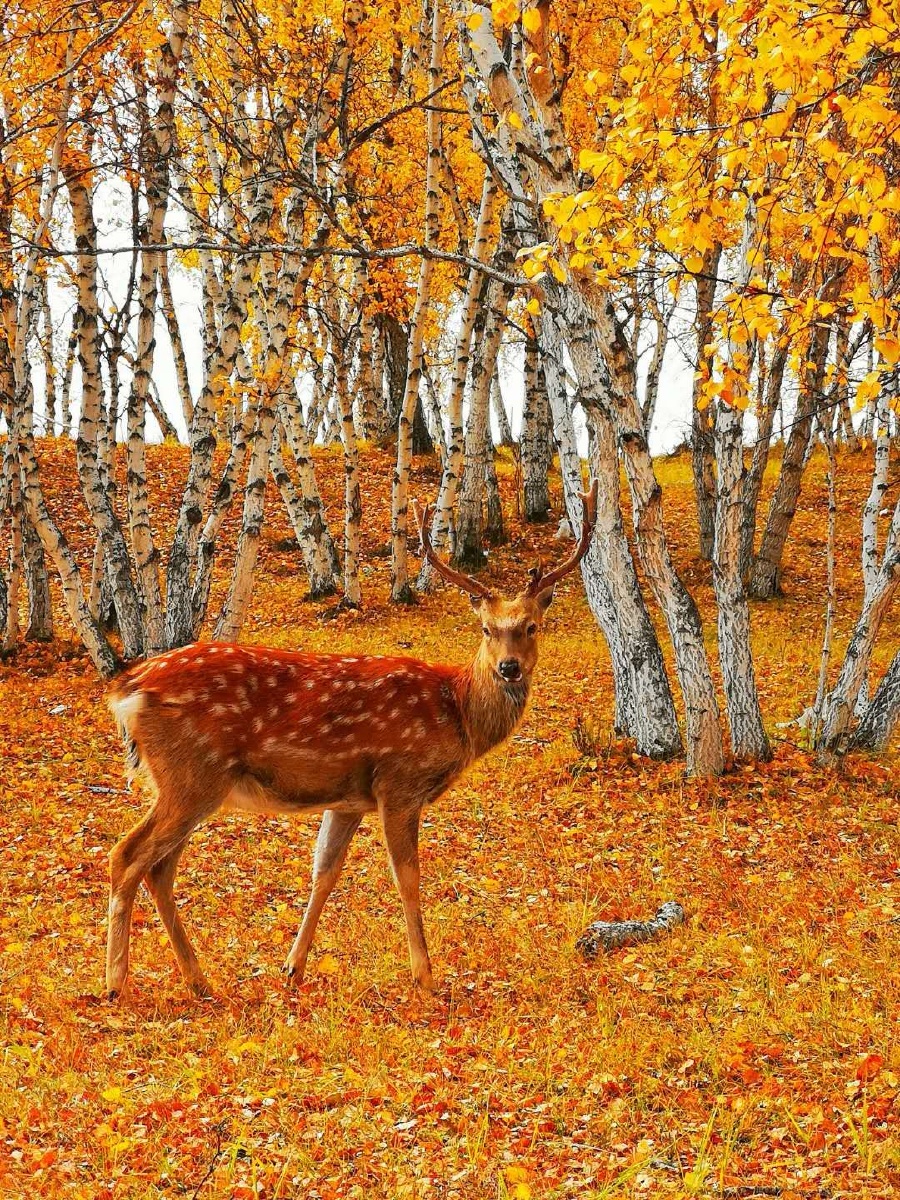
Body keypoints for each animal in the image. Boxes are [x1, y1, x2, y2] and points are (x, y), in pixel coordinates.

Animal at [104, 481, 598, 1000]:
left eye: (531, 626)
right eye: (487, 629)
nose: (509, 667)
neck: (457, 711)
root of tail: (127, 691)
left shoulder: (348, 799)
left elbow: (324, 872)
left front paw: (293, 967)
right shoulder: (399, 783)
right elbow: (407, 878)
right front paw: (424, 975)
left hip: (191, 783)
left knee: (159, 868)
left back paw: (198, 979)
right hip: (191, 775)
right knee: (128, 856)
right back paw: (116, 981)